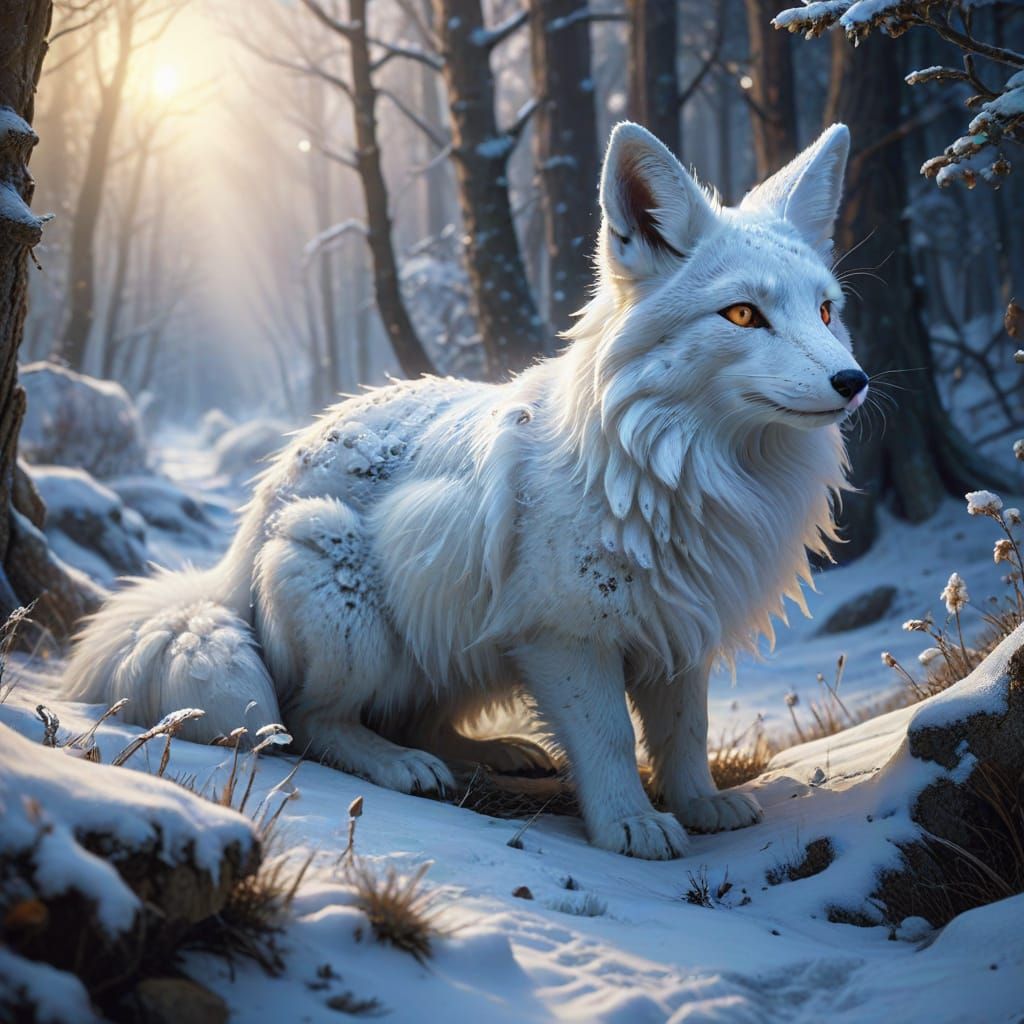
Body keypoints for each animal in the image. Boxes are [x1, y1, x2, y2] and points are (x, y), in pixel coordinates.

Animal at [63, 122, 867, 860]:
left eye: (827, 311)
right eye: (743, 315)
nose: (852, 381)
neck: (678, 465)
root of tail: (236, 554)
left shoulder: (679, 630)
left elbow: (685, 730)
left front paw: (700, 805)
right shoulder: (565, 637)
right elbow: (609, 737)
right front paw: (630, 825)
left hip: (462, 641)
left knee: (418, 716)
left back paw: (494, 753)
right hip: (344, 586)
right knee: (311, 719)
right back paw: (402, 765)